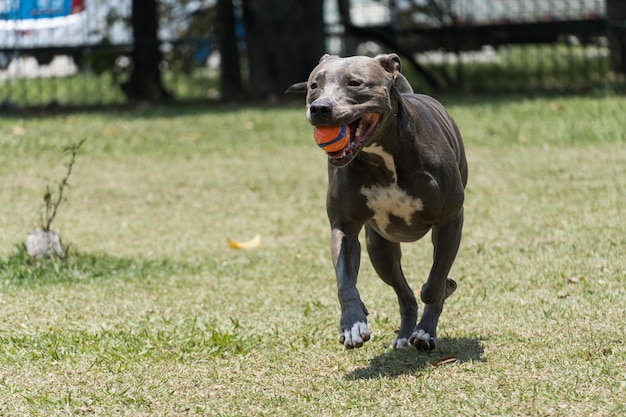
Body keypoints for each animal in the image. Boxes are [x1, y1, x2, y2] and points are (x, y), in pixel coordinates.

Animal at [286, 52, 464, 352]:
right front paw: (353, 324)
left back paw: (423, 331)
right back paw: (404, 334)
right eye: (314, 85)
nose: (320, 108)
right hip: (379, 249)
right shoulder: (344, 226)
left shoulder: (450, 220)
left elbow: (434, 283)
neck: (382, 157)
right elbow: (345, 280)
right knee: (404, 294)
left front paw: (437, 304)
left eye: (355, 83)